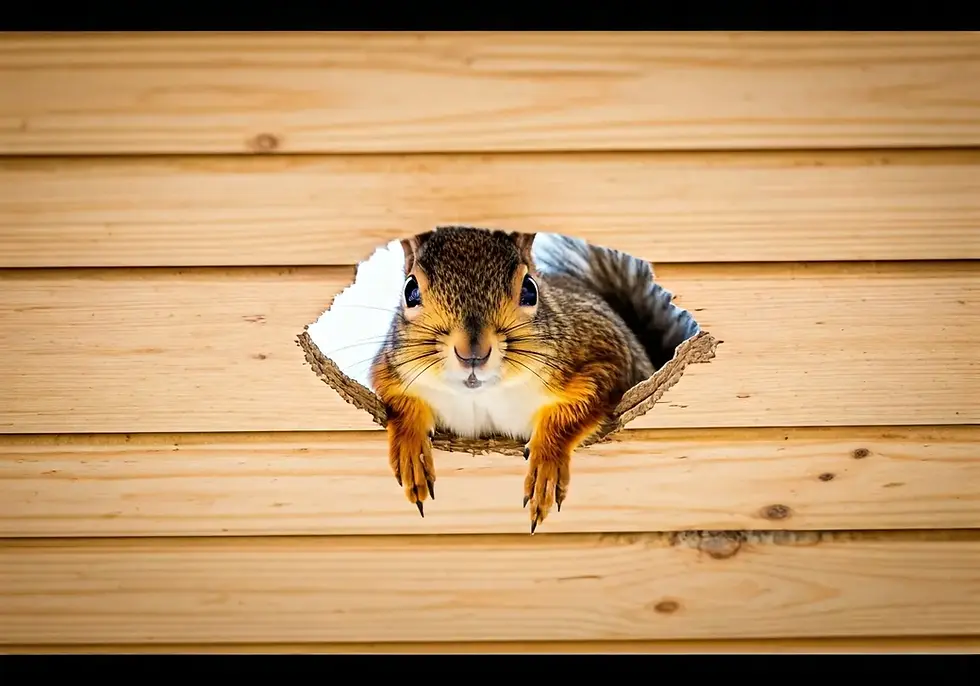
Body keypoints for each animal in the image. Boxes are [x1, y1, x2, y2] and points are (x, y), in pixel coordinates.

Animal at [369, 226, 696, 533]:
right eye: (410, 290)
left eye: (530, 289)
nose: (472, 352)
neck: (484, 393)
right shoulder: (389, 367)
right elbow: (398, 401)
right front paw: (411, 450)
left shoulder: (605, 353)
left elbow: (577, 408)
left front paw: (546, 465)